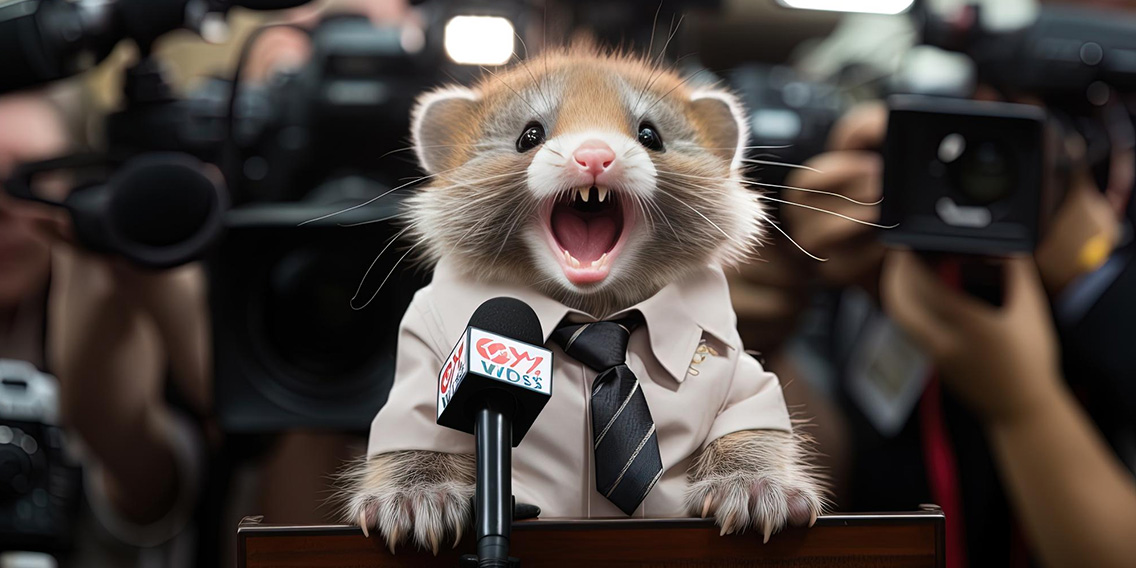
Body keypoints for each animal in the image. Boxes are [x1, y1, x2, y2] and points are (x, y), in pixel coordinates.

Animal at [336, 45, 827, 554]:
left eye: (650, 135)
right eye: (529, 135)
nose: (594, 155)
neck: (594, 309)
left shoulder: (732, 356)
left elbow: (750, 411)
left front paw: (751, 478)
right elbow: (418, 422)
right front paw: (419, 486)